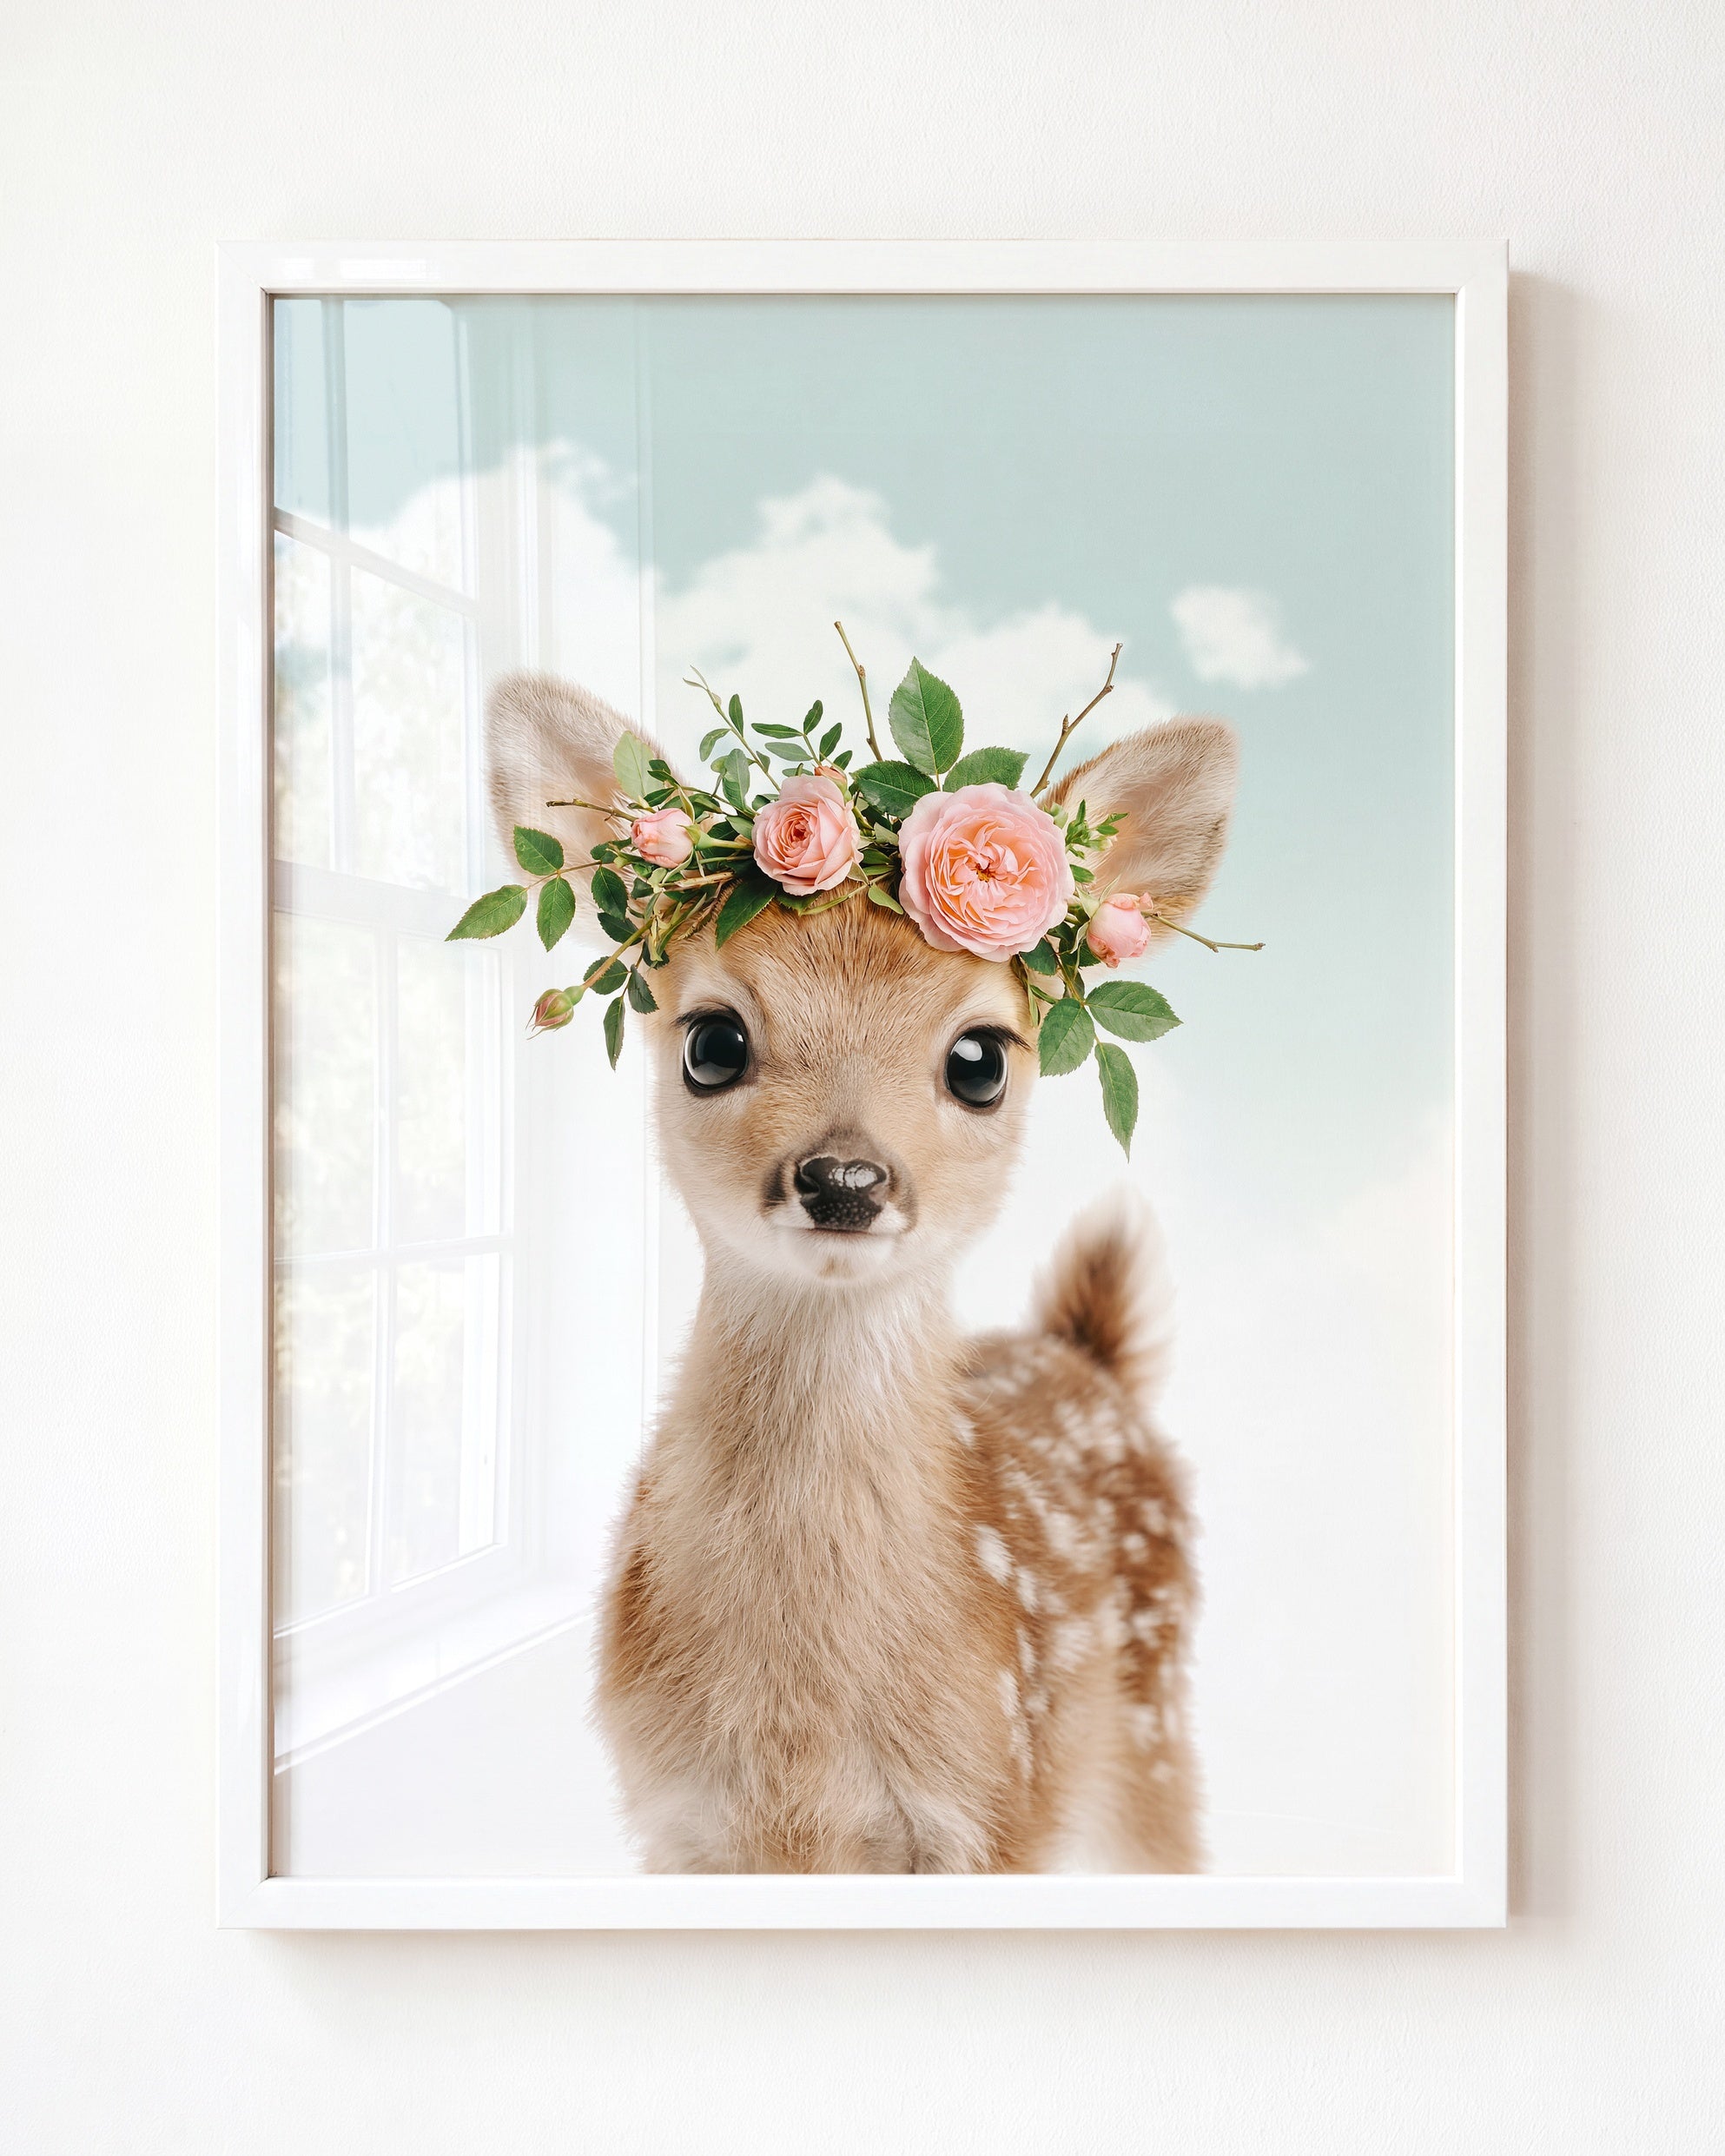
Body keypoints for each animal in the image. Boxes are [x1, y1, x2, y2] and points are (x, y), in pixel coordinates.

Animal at [486, 670, 1239, 1872]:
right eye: (710, 1042)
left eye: (980, 1059)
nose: (843, 1177)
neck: (801, 1739)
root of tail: (1088, 1356)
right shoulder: (677, 1819)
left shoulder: (992, 1806)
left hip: (1149, 1733)